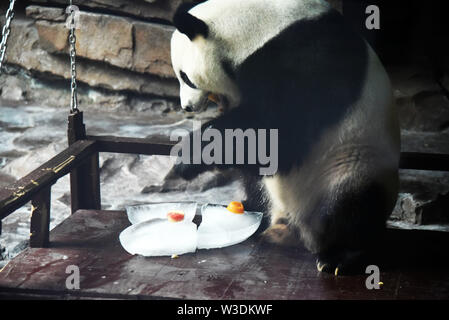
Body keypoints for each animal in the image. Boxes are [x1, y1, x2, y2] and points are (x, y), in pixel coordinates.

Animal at [168, 0, 400, 276]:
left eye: (185, 77)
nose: (187, 108)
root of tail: (293, 222)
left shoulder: (307, 58)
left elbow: (277, 132)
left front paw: (187, 158)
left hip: (350, 164)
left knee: (352, 206)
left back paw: (340, 257)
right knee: (255, 182)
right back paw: (251, 212)